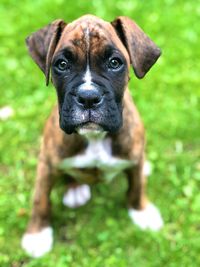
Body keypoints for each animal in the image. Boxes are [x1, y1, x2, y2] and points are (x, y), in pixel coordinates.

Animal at [21, 15, 163, 260]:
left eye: (115, 63)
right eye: (62, 65)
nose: (88, 97)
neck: (95, 136)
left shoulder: (134, 156)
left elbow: (136, 187)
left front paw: (142, 212)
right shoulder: (46, 163)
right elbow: (41, 199)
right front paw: (37, 234)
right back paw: (75, 189)